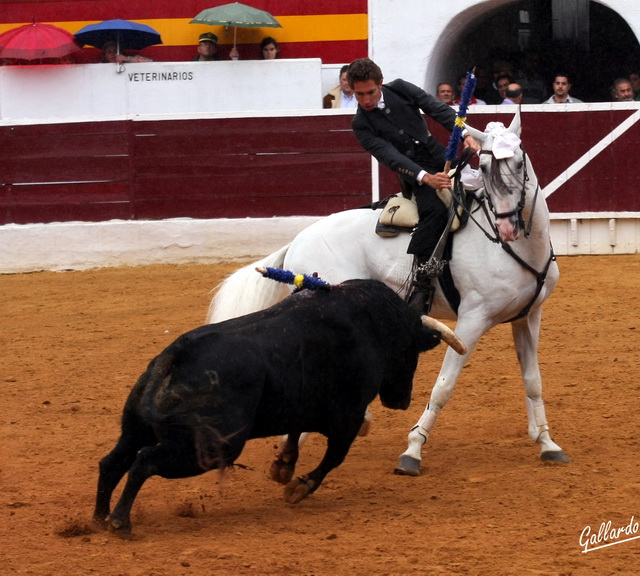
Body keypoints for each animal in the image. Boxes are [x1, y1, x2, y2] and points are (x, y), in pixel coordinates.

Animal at [95, 280, 442, 536]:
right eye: (412, 349)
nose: (401, 400)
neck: (371, 324)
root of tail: (173, 356)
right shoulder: (349, 416)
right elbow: (334, 457)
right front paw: (298, 487)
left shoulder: (301, 404)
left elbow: (294, 435)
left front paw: (284, 467)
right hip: (211, 448)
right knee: (143, 461)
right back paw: (119, 522)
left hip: (135, 428)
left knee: (113, 461)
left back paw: (100, 518)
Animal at [208, 112, 568, 476]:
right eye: (481, 166)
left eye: (519, 163)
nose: (507, 227)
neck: (518, 247)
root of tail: (297, 240)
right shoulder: (472, 319)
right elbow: (443, 386)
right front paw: (412, 450)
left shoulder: (528, 317)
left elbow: (533, 380)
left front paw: (547, 443)